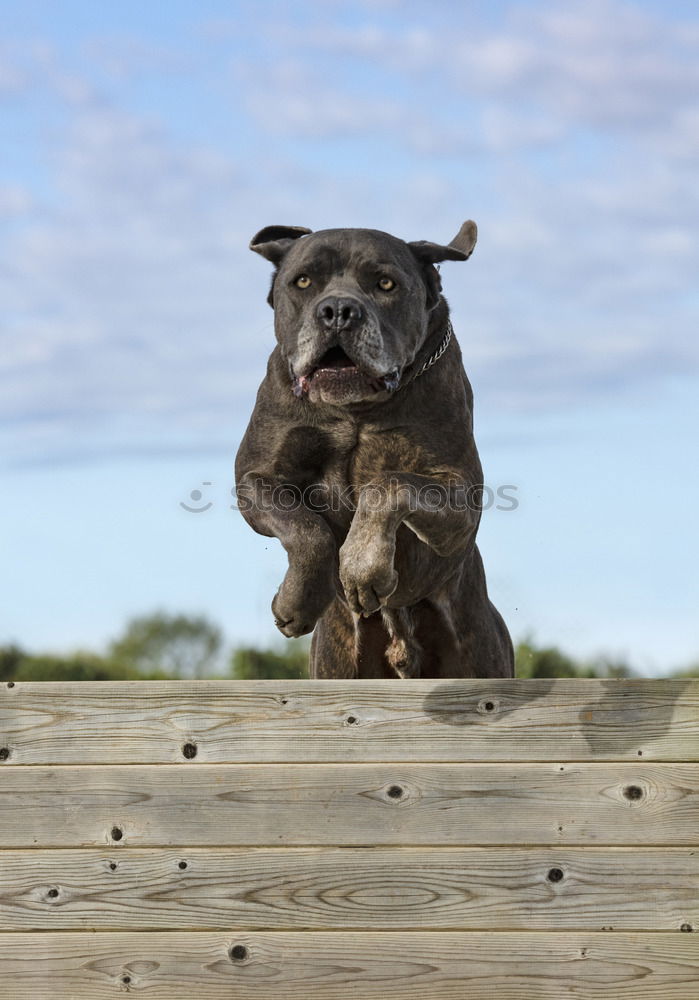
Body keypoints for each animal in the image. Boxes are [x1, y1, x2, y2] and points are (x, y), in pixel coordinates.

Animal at [235, 223, 516, 680]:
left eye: (385, 284)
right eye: (303, 282)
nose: (338, 310)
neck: (356, 411)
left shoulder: (460, 498)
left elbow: (389, 484)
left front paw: (362, 567)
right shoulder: (255, 477)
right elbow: (304, 528)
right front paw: (297, 601)